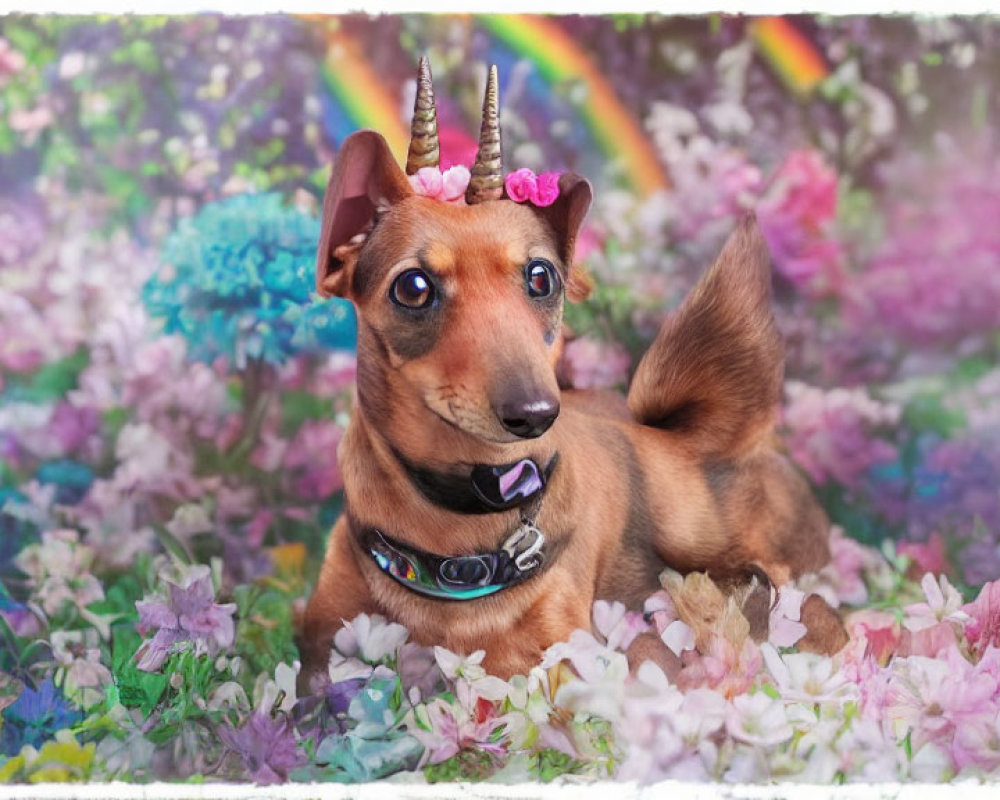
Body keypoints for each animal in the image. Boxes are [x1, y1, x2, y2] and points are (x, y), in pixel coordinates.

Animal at [296, 62, 836, 692]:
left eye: (541, 276)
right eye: (413, 287)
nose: (535, 413)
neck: (459, 522)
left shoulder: (560, 654)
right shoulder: (321, 641)